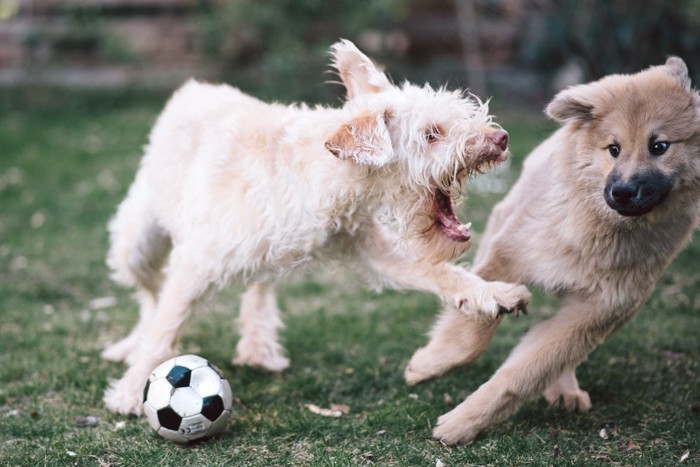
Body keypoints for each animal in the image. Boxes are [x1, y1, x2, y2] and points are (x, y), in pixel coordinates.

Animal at [102, 38, 532, 414]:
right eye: (431, 134)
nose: (501, 138)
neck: (319, 171)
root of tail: (192, 89)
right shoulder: (196, 263)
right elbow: (164, 330)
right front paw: (132, 390)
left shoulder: (371, 250)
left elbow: (439, 271)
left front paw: (492, 294)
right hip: (135, 246)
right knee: (151, 296)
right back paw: (132, 345)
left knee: (257, 286)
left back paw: (259, 345)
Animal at [408, 56, 700, 444]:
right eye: (614, 149)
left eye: (659, 146)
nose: (622, 192)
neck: (600, 229)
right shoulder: (507, 261)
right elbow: (471, 334)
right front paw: (427, 366)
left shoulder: (595, 311)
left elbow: (527, 371)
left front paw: (463, 422)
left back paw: (563, 388)